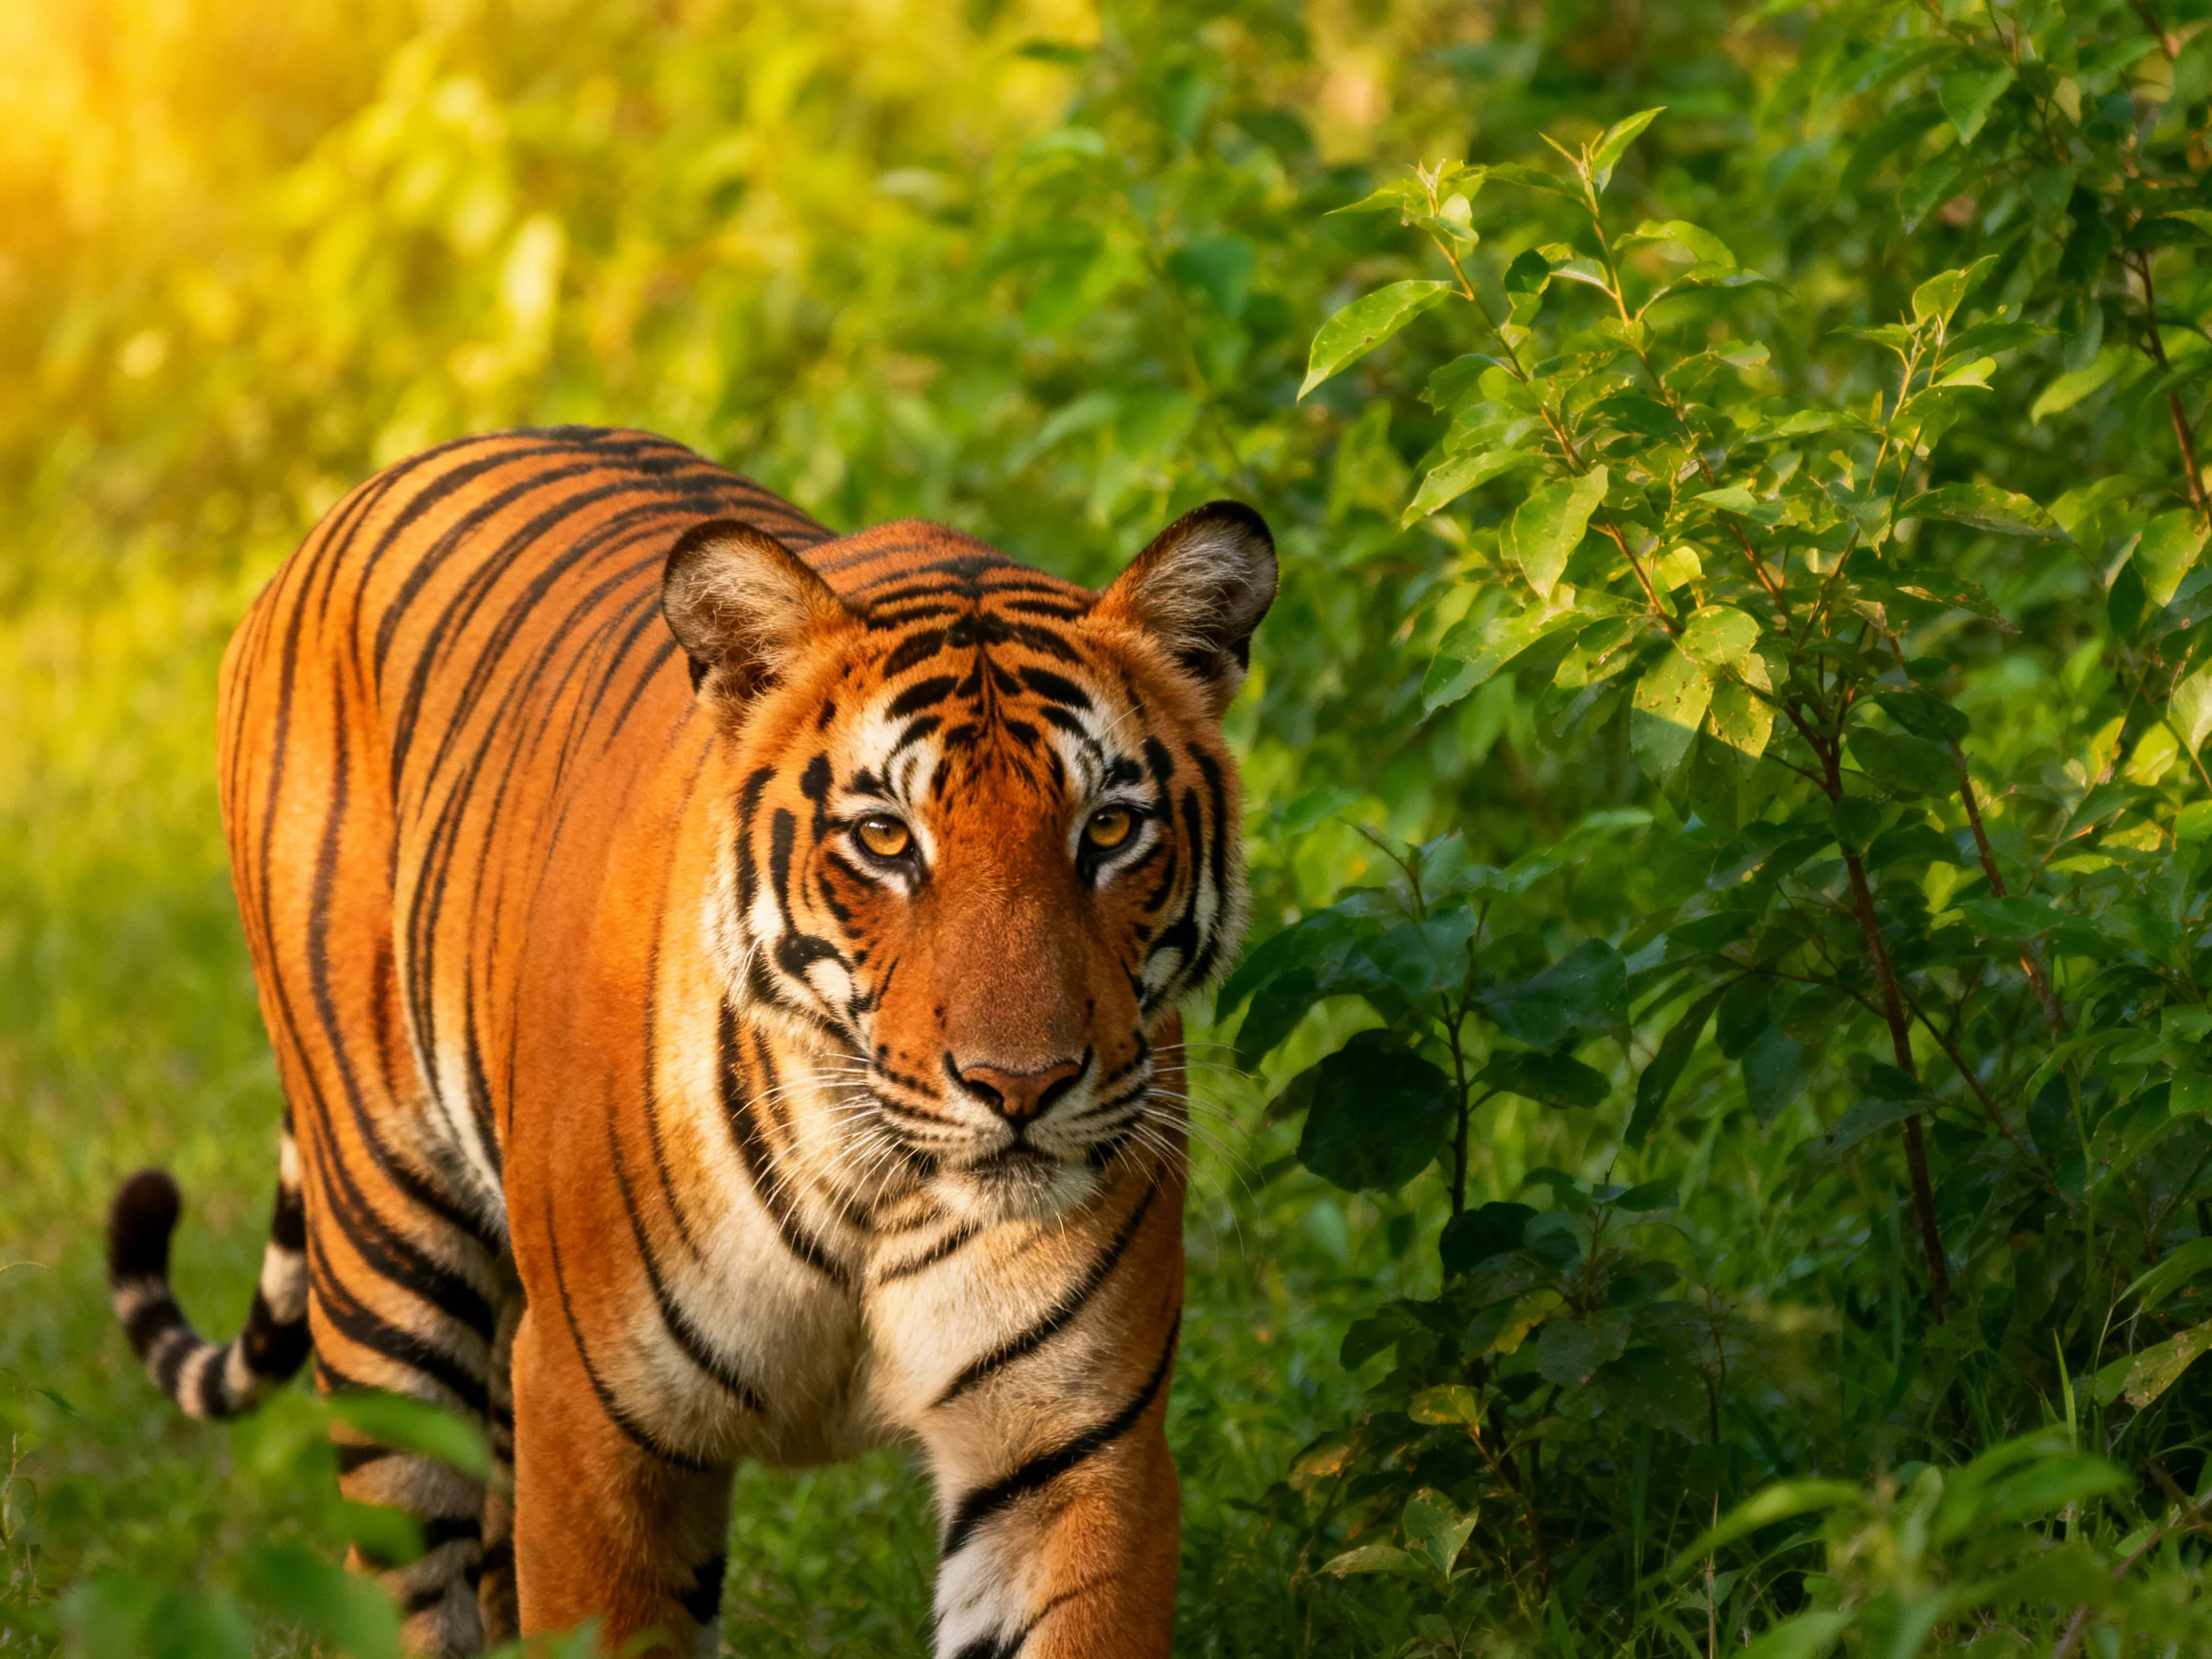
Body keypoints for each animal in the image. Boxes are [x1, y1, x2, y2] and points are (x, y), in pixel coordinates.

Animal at [103, 425, 1275, 1658]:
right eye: (884, 840)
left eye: (1110, 829)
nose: (1024, 1085)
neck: (872, 1188)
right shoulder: (596, 1420)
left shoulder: (1070, 1452)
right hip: (385, 1249)